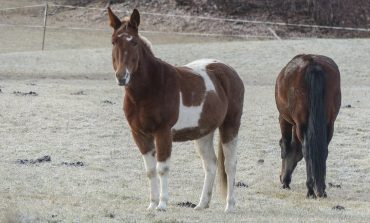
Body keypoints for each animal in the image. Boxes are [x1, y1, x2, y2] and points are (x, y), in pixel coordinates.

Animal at [108, 7, 244, 212]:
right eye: (114, 41)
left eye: (134, 42)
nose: (121, 76)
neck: (150, 88)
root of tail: (227, 70)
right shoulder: (140, 135)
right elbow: (150, 170)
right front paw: (152, 205)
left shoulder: (163, 133)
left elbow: (162, 168)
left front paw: (162, 205)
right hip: (203, 133)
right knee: (211, 164)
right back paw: (201, 204)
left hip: (230, 126)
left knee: (230, 165)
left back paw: (230, 206)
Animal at [274, 55, 342, 198]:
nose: (282, 178)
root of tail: (313, 64)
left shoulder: (284, 119)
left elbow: (286, 144)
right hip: (329, 123)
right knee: (323, 149)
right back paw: (321, 188)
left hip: (300, 122)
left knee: (306, 149)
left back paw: (310, 189)